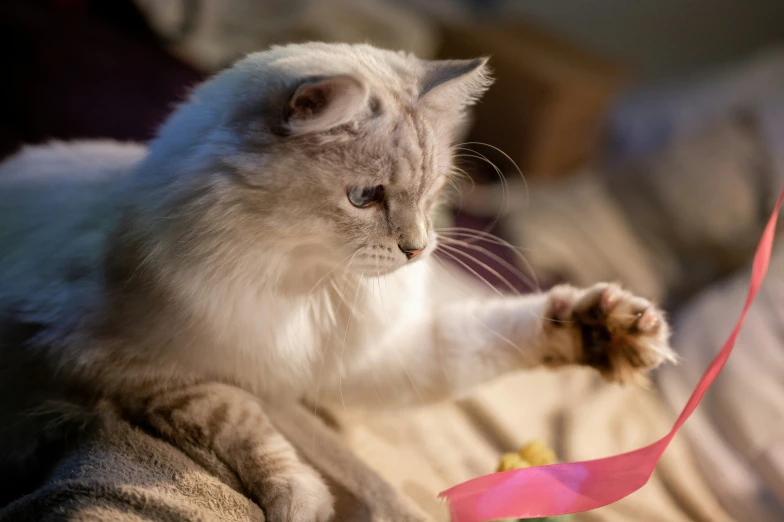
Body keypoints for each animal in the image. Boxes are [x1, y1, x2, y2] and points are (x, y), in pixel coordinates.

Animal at [0, 41, 672, 520]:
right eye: (364, 198)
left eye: (431, 194)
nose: (417, 249)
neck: (306, 290)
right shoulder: (121, 362)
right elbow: (241, 417)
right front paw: (302, 498)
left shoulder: (373, 357)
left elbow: (500, 335)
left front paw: (609, 330)